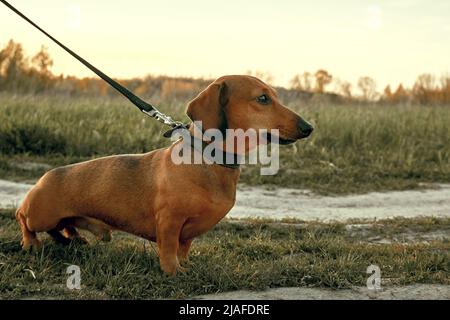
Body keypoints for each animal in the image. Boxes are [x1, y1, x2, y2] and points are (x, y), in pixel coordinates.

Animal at [16, 75, 312, 276]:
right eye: (262, 98)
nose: (309, 127)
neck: (210, 160)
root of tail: (47, 175)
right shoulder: (170, 221)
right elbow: (169, 249)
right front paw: (173, 271)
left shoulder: (188, 232)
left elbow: (184, 248)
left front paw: (187, 265)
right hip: (40, 214)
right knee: (24, 218)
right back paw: (31, 243)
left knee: (63, 228)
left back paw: (74, 239)